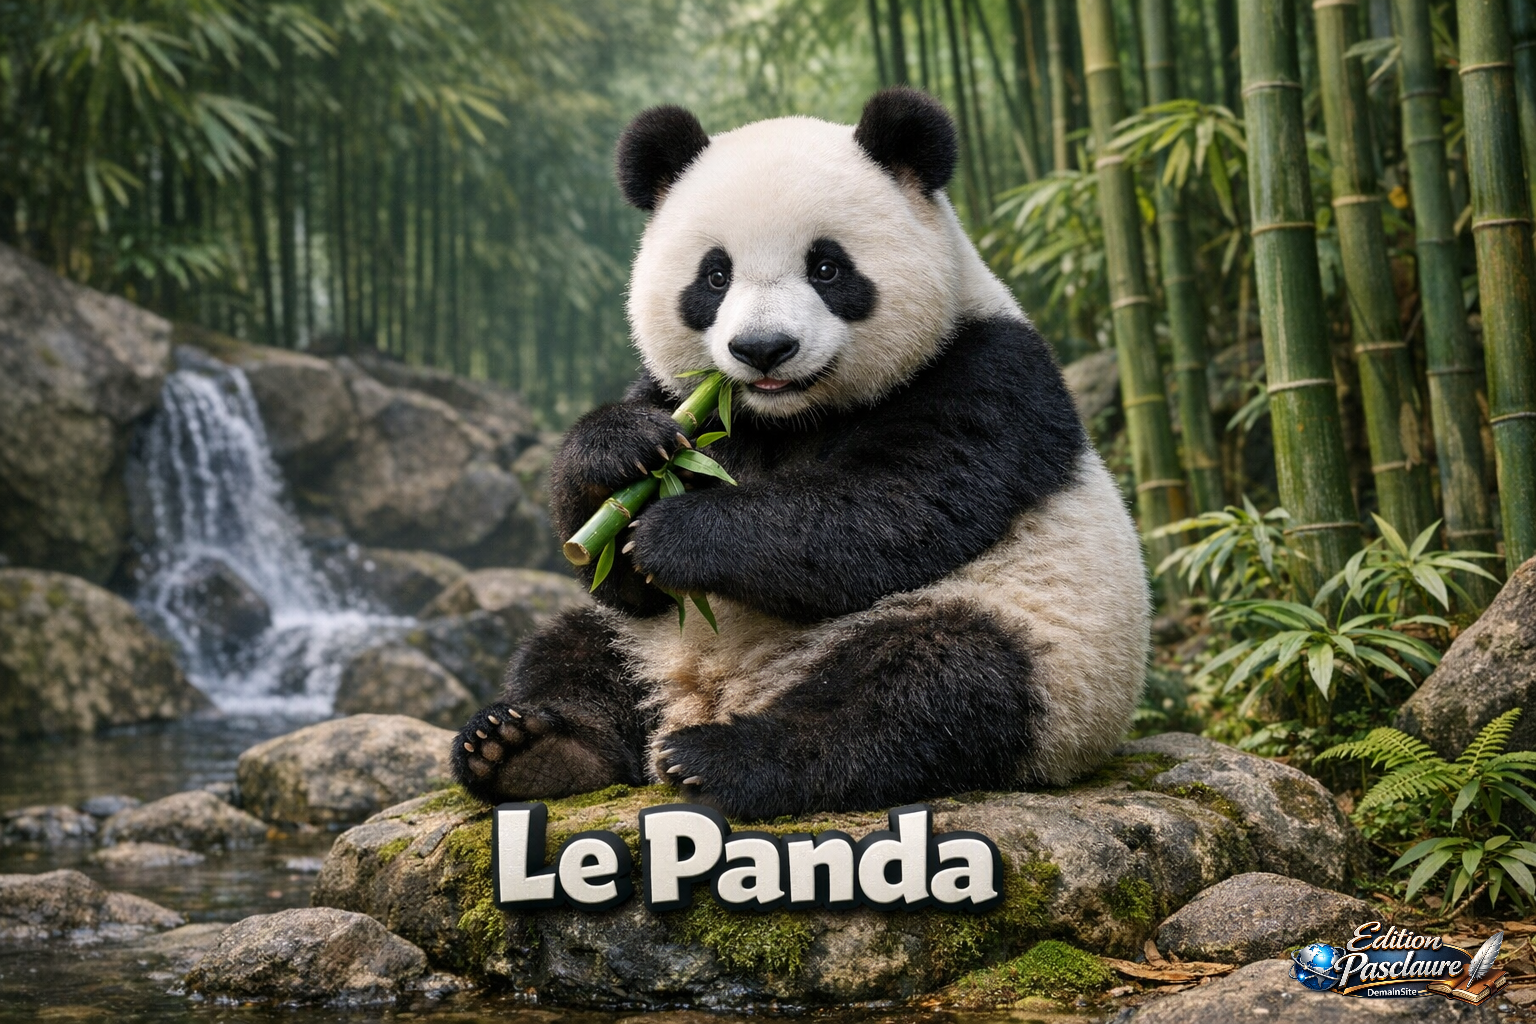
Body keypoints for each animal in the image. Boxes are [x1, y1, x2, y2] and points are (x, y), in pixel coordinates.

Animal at [451, 87, 1150, 820]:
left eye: (826, 267)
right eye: (715, 275)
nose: (763, 349)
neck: (786, 416)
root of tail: (712, 691)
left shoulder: (987, 378)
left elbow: (893, 509)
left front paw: (676, 533)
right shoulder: (692, 404)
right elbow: (613, 573)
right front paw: (623, 452)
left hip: (1040, 655)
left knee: (930, 686)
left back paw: (722, 759)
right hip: (653, 641)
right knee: (571, 644)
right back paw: (526, 749)